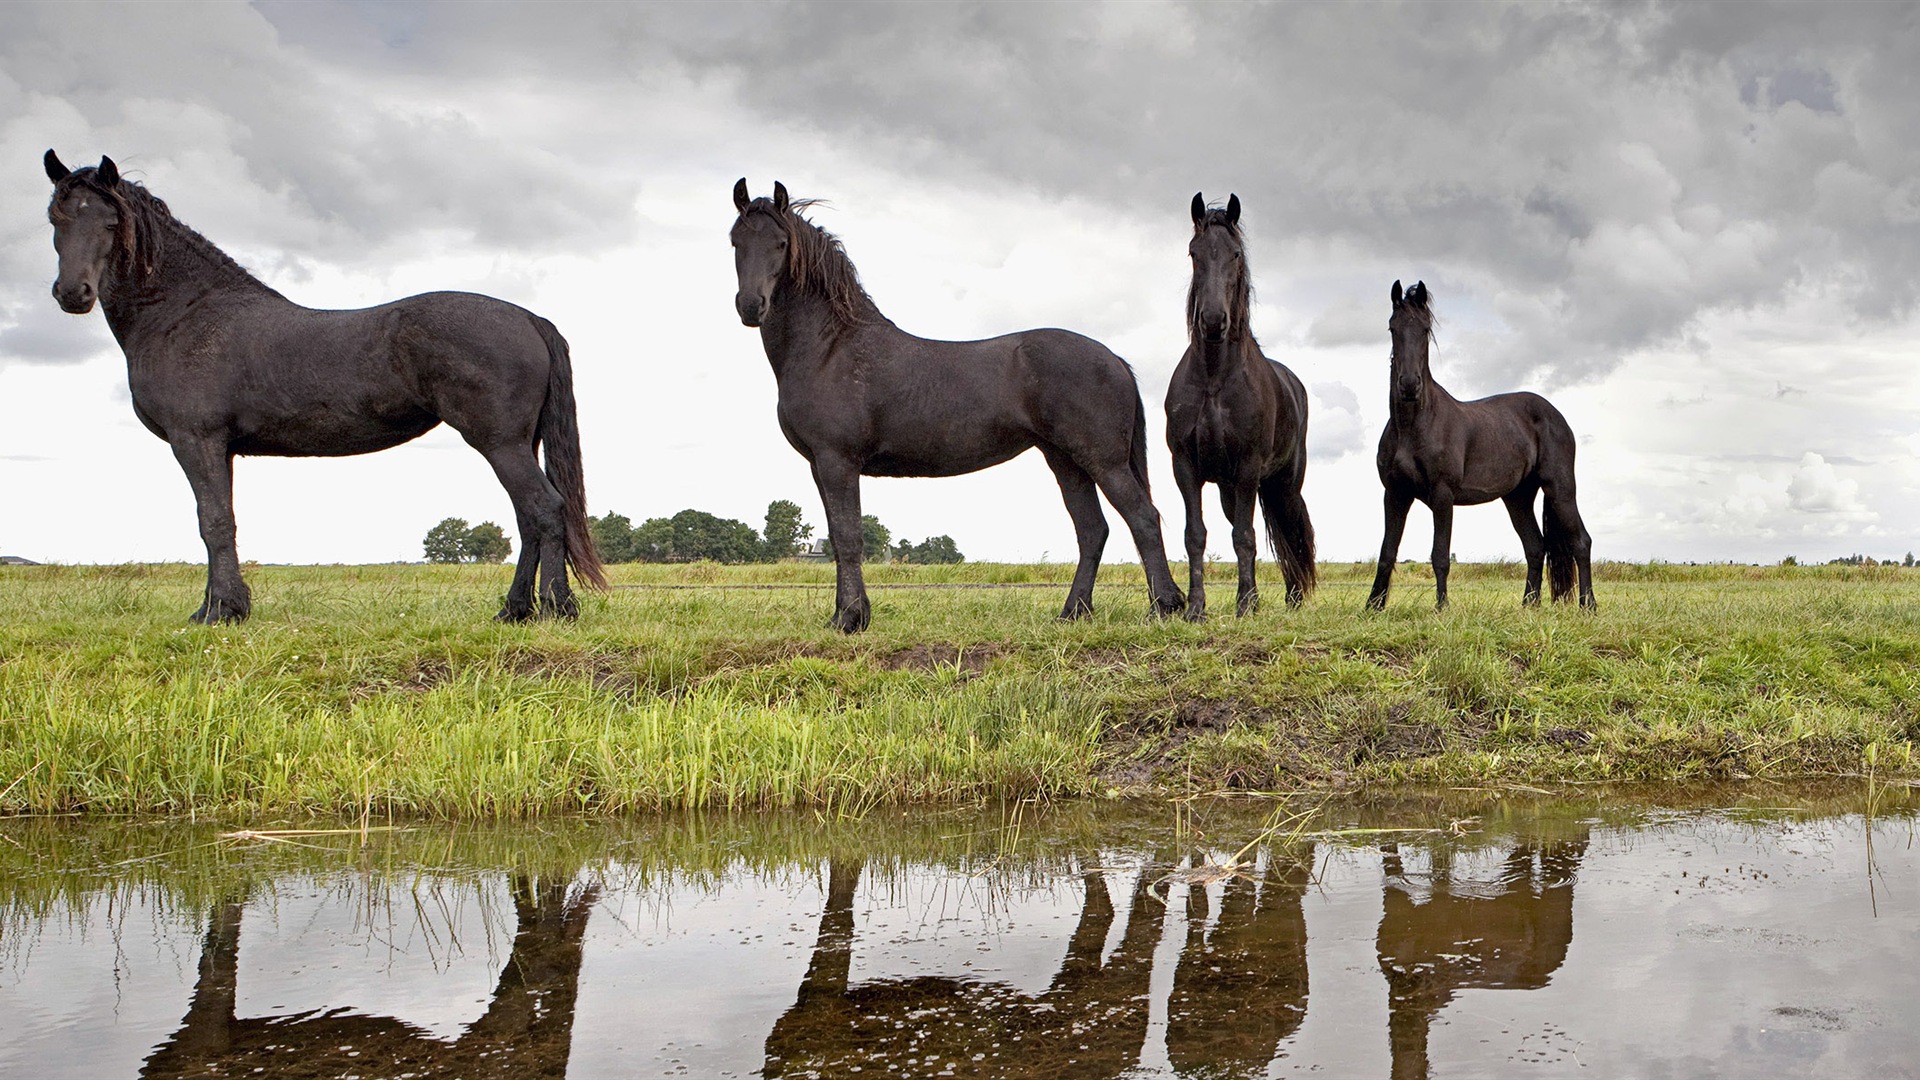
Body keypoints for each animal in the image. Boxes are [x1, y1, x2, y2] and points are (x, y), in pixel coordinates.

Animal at [45, 152, 602, 622]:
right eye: (57, 217)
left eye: (111, 222)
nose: (73, 293)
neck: (185, 312)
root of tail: (526, 317)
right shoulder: (219, 448)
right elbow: (220, 519)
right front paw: (220, 605)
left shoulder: (195, 440)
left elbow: (213, 521)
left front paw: (219, 612)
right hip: (518, 442)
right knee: (529, 518)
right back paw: (514, 610)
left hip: (499, 441)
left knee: (545, 510)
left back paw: (556, 609)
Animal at [729, 178, 1182, 630]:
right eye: (736, 240)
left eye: (781, 243)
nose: (751, 306)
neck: (831, 348)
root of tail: (1115, 360)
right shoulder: (819, 465)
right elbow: (839, 541)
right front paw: (844, 615)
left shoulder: (837, 460)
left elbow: (848, 536)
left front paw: (851, 619)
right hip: (1066, 461)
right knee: (1092, 531)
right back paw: (1073, 612)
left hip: (1103, 461)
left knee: (1142, 518)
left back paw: (1166, 606)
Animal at [1159, 192, 1313, 614]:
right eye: (1194, 252)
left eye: (1236, 254)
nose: (1214, 321)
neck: (1214, 379)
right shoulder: (1186, 468)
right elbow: (1196, 535)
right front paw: (1196, 608)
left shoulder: (1247, 468)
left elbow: (1245, 537)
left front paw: (1244, 606)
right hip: (1230, 488)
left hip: (1282, 484)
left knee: (1290, 533)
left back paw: (1294, 597)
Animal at [1374, 282, 1597, 611]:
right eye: (1393, 327)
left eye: (1425, 329)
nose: (1410, 385)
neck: (1413, 426)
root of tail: (1556, 415)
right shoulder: (1395, 493)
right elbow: (1387, 552)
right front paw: (1372, 607)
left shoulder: (1442, 495)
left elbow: (1440, 556)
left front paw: (1442, 608)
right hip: (1518, 497)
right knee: (1535, 546)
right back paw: (1529, 606)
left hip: (1560, 488)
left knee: (1581, 541)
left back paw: (1588, 605)